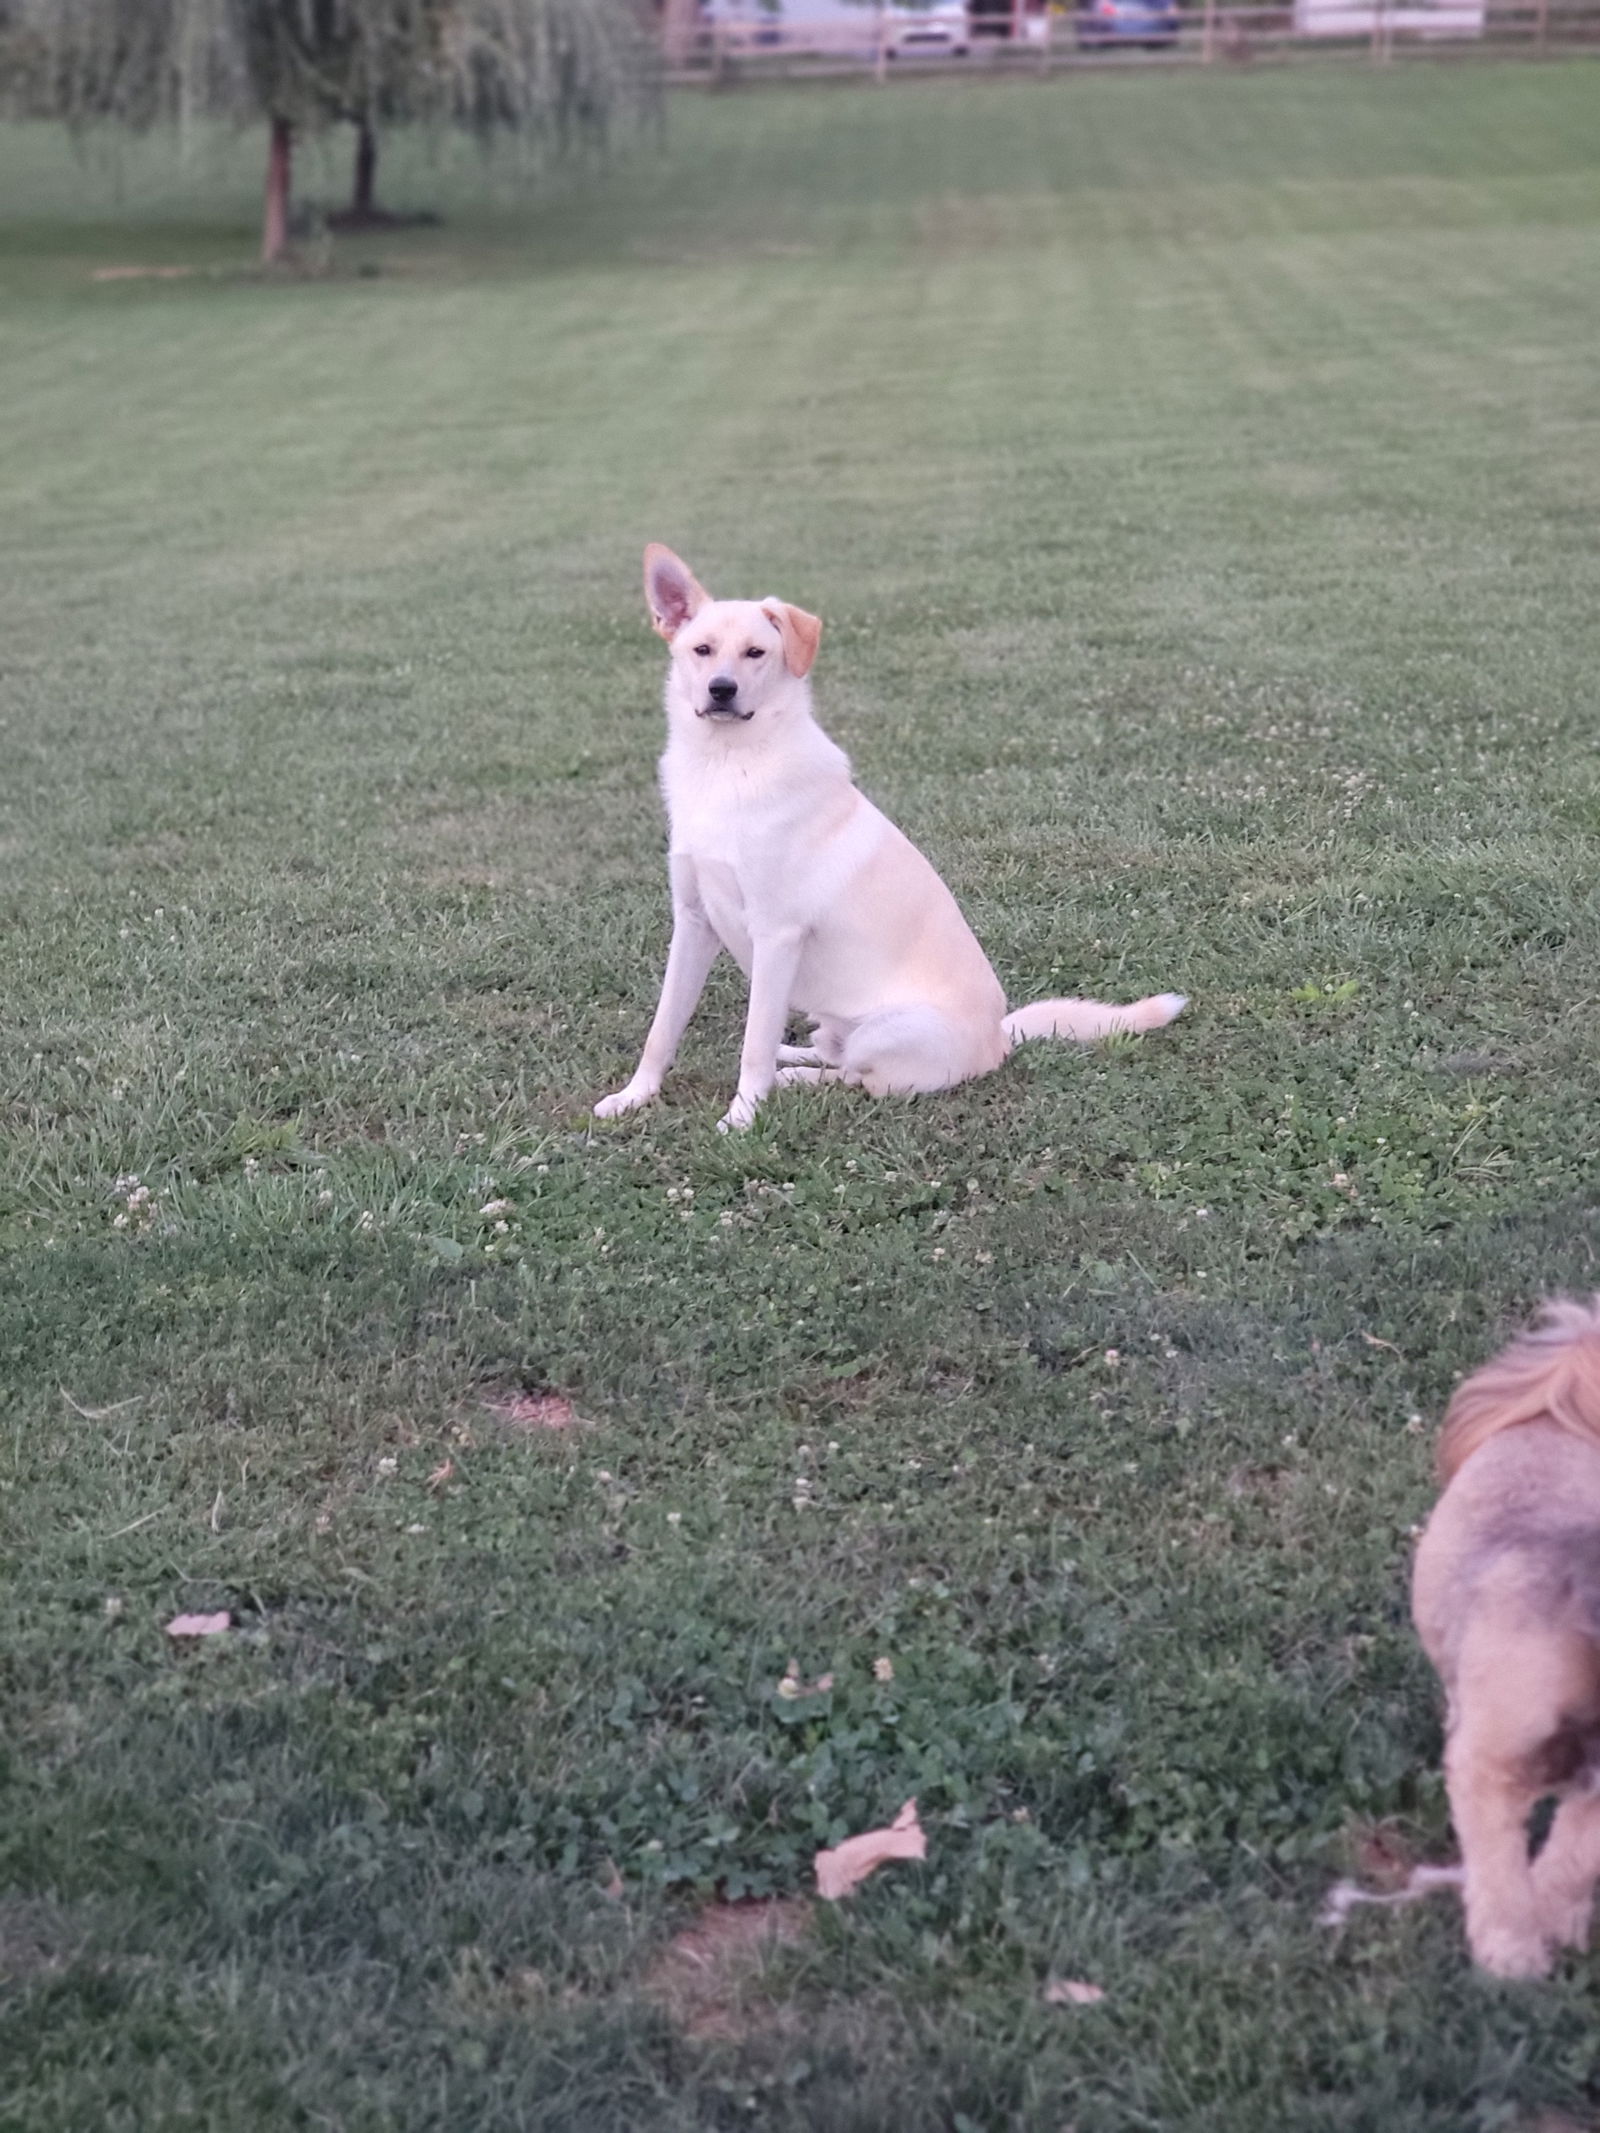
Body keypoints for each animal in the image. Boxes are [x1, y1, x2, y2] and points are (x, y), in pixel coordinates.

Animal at [597, 546, 1186, 1134]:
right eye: (701, 650)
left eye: (756, 652)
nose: (722, 689)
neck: (727, 766)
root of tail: (1000, 1037)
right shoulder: (694, 922)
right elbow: (663, 1028)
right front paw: (634, 1097)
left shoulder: (776, 936)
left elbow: (753, 1045)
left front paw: (742, 1118)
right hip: (829, 1016)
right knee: (830, 1052)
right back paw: (796, 1058)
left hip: (889, 1030)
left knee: (856, 1076)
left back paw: (793, 1078)